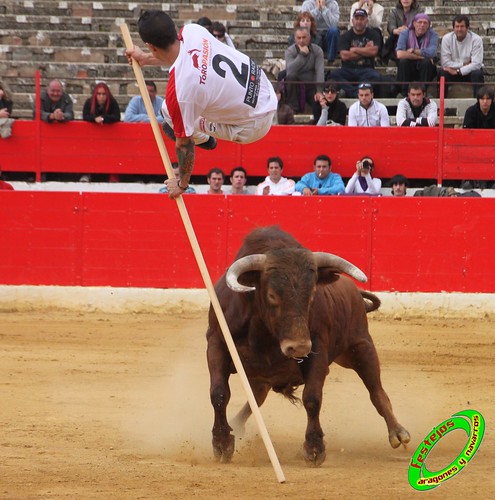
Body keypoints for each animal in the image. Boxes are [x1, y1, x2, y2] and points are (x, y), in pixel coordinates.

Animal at [205, 227, 410, 464]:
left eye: (312, 293)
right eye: (272, 294)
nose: (299, 347)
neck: (263, 332)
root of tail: (354, 292)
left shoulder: (317, 353)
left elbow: (312, 398)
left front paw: (314, 448)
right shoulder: (216, 345)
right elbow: (219, 393)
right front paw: (221, 443)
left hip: (361, 347)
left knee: (376, 391)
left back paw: (398, 432)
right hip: (262, 375)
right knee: (256, 397)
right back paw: (236, 427)